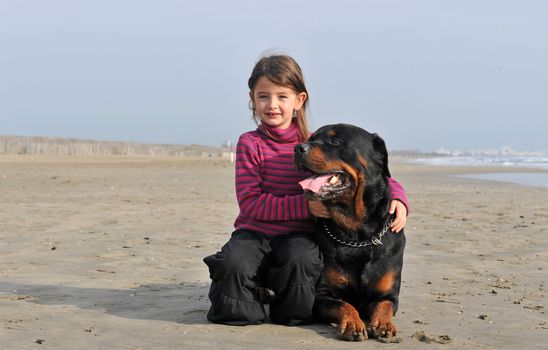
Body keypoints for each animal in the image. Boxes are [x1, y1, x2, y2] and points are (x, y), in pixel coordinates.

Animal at [294, 124, 404, 340]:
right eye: (311, 138)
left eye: (335, 141)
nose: (298, 148)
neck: (357, 235)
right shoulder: (321, 294)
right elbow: (344, 305)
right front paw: (353, 324)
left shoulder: (388, 295)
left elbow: (384, 306)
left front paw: (384, 324)